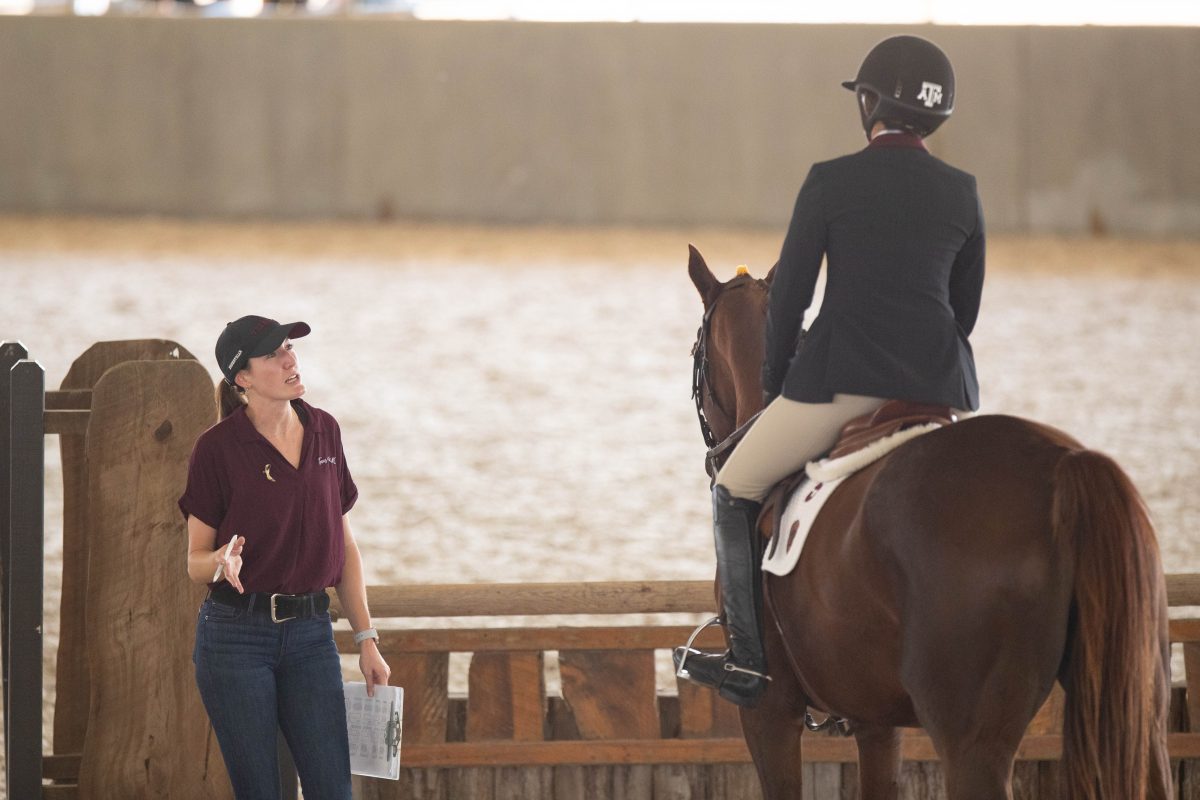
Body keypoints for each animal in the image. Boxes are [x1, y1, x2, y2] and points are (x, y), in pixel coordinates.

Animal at [686, 247, 1171, 796]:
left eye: (695, 350)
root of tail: (1066, 465)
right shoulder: (876, 720)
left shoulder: (770, 712)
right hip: (1140, 709)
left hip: (970, 740)